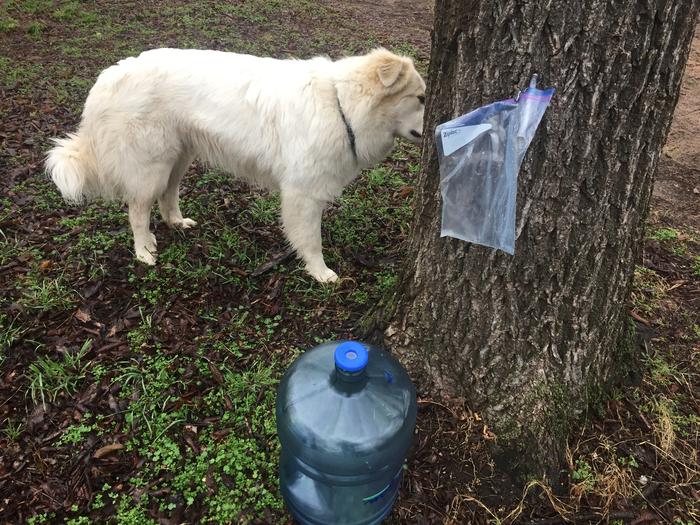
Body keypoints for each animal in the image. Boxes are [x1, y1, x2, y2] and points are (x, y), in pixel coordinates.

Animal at [46, 47, 426, 280]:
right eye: (421, 98)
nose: (437, 120)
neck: (341, 105)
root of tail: (110, 75)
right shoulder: (302, 195)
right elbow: (311, 241)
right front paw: (320, 273)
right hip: (151, 165)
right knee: (137, 210)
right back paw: (144, 251)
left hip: (179, 157)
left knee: (168, 195)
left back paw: (176, 222)